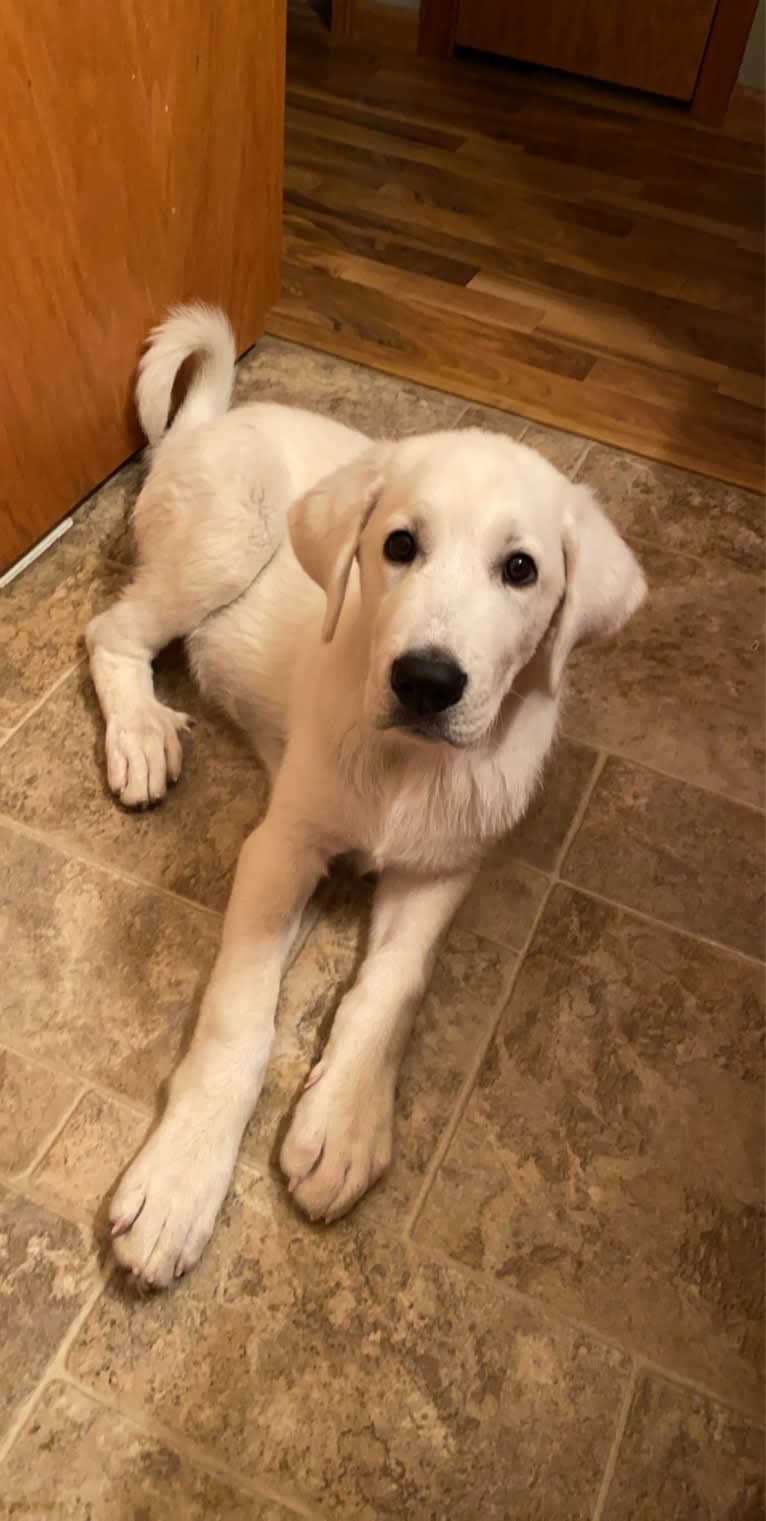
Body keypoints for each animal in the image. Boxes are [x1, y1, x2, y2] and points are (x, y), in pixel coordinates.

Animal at [85, 302, 647, 1289]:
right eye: (398, 545)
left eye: (522, 569)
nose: (427, 680)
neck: (406, 767)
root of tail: (210, 423)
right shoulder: (279, 846)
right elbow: (239, 1010)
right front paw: (181, 1180)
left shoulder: (444, 865)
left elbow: (395, 984)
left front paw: (343, 1122)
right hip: (220, 545)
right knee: (111, 632)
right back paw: (142, 733)